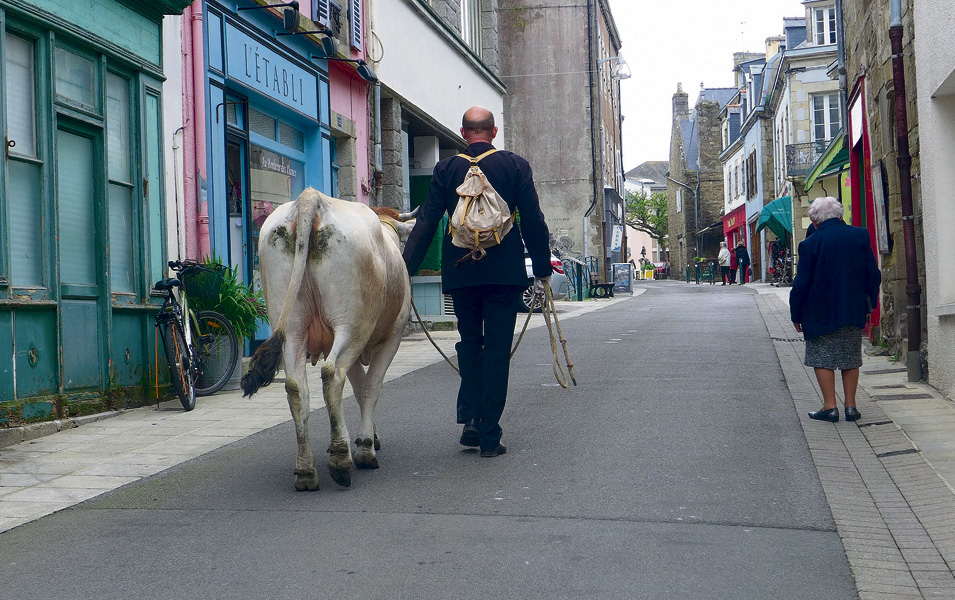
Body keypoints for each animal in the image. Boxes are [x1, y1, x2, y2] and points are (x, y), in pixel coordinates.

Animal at [239, 189, 414, 492]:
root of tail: (311, 199)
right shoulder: (391, 337)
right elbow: (369, 388)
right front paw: (366, 444)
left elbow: (359, 387)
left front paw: (370, 436)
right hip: (351, 326)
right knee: (332, 375)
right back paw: (341, 458)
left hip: (293, 327)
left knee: (297, 388)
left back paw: (306, 470)